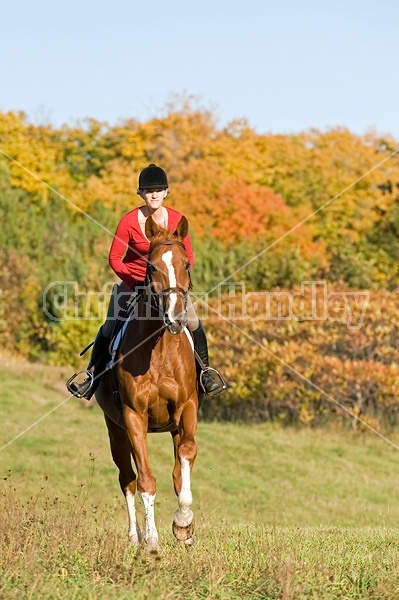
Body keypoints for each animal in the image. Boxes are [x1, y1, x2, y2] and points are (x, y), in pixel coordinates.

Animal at [95, 216, 198, 552]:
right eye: (151, 266)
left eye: (186, 263)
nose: (176, 318)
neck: (160, 348)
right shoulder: (133, 416)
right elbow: (145, 481)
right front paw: (152, 540)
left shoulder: (187, 408)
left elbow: (185, 458)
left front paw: (183, 524)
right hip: (116, 429)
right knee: (127, 478)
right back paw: (134, 537)